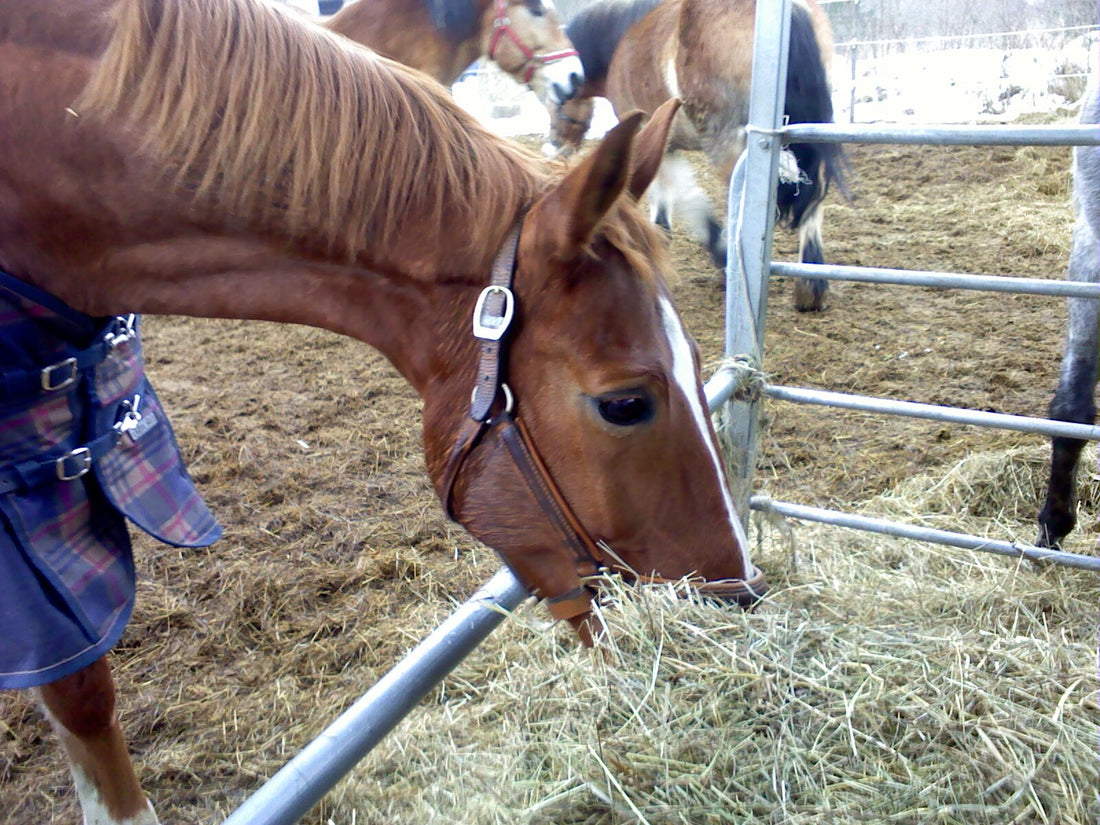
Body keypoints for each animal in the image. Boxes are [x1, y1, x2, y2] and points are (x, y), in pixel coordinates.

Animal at [544, 0, 845, 312]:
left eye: (554, 101)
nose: (554, 146)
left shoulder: (659, 141)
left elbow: (684, 204)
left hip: (730, 148)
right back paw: (810, 285)